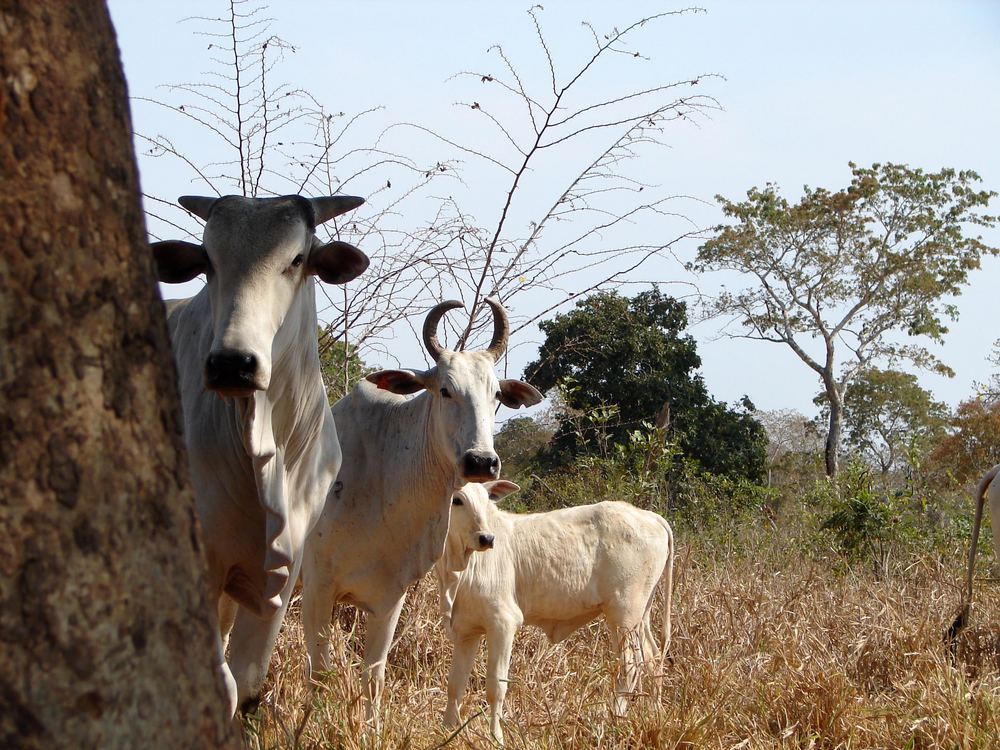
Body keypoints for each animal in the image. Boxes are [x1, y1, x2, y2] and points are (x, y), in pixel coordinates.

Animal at [300, 298, 544, 724]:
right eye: (445, 389)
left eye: (496, 394)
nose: (481, 462)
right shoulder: (318, 587)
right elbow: (320, 674)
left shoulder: (389, 598)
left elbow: (373, 677)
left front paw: (371, 728)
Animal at [442, 484, 676, 744]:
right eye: (457, 500)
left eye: (486, 500)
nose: (486, 538)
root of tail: (650, 516)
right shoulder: (465, 631)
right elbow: (455, 685)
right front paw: (448, 731)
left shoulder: (502, 624)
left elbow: (496, 687)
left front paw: (496, 737)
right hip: (640, 615)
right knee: (652, 658)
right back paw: (654, 713)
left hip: (624, 613)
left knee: (629, 666)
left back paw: (615, 720)